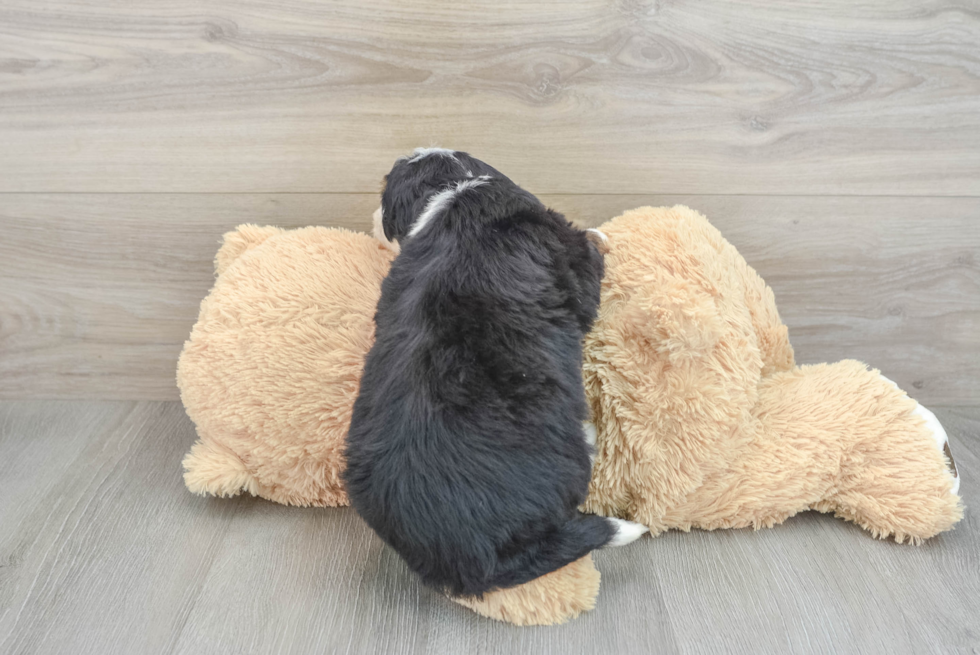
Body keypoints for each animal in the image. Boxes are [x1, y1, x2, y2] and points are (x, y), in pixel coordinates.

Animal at [340, 149, 648, 600]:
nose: (372, 214)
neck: (458, 190)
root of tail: (472, 562)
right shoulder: (576, 264)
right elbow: (589, 255)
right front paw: (599, 235)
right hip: (564, 462)